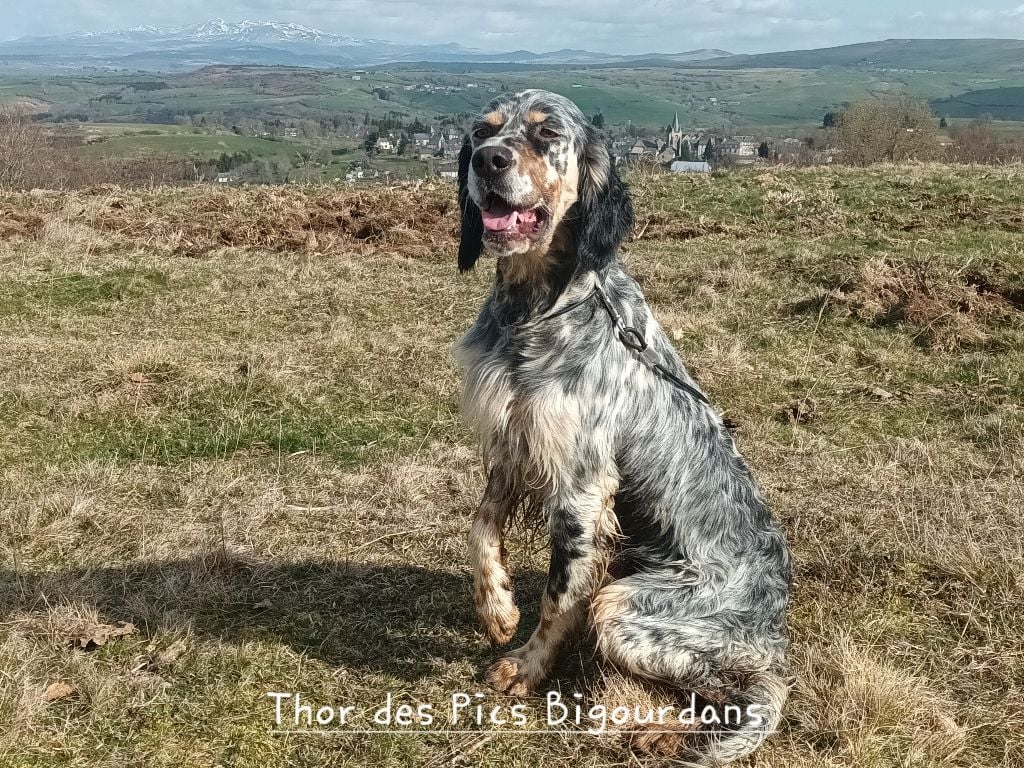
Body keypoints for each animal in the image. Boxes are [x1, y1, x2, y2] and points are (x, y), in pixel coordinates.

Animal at [453, 90, 791, 764]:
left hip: (630, 608)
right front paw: (497, 608)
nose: (487, 160)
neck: (536, 309)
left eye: (547, 135)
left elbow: (561, 594)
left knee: (758, 684)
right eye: (481, 130)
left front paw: (528, 667)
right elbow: (480, 529)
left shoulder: (582, 485)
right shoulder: (511, 442)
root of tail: (776, 615)